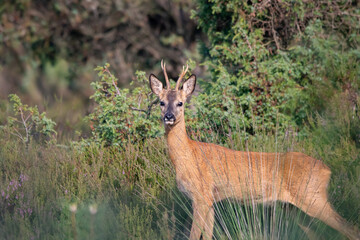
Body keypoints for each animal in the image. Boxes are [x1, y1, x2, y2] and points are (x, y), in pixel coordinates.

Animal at [148, 60, 358, 240]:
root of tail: (327, 170)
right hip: (294, 207)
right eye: (161, 102)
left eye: (180, 103)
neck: (187, 156)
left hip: (313, 197)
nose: (169, 116)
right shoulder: (210, 200)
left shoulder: (201, 194)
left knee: (351, 228)